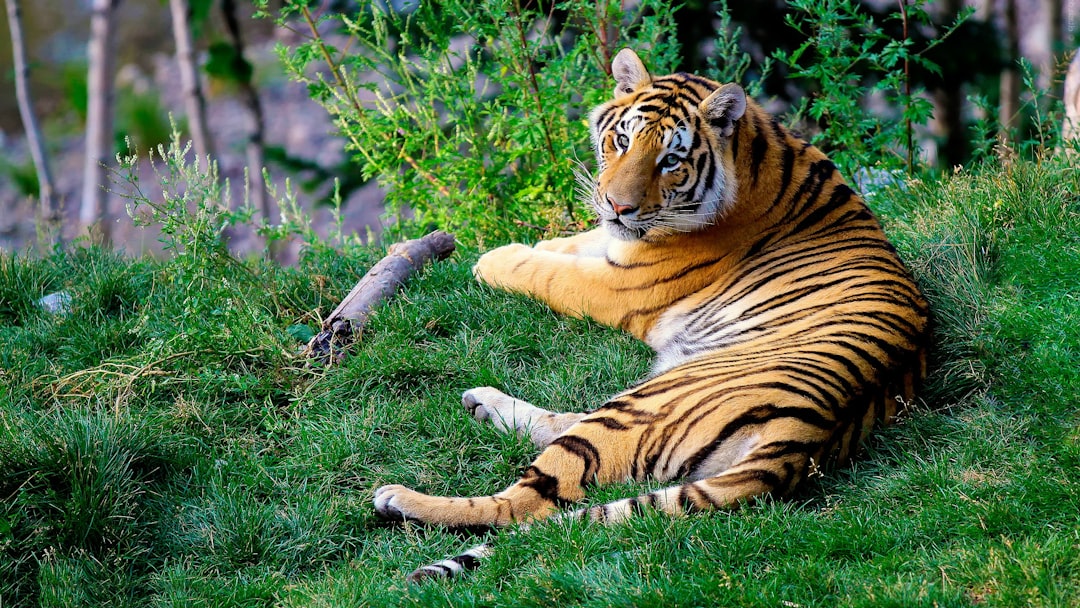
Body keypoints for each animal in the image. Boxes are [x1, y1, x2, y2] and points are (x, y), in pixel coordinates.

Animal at [373, 48, 930, 581]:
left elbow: (549, 273)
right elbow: (574, 243)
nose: (618, 206)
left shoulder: (620, 284)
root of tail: (806, 437)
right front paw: (539, 242)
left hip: (643, 404)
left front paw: (494, 259)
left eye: (670, 160)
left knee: (526, 502)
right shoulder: (616, 245)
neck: (756, 154)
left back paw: (401, 498)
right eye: (621, 140)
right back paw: (482, 404)